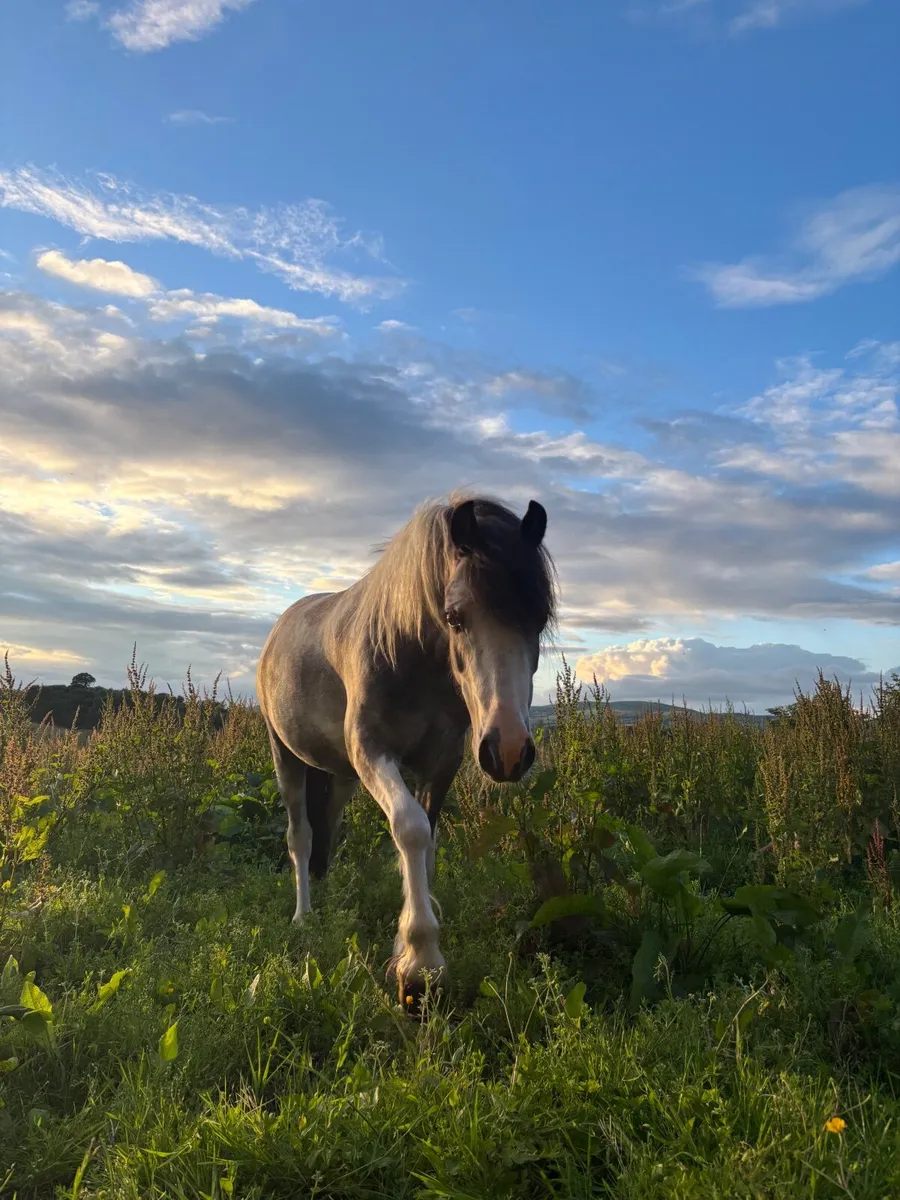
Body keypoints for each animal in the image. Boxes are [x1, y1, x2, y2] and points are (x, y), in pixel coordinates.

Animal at [256, 492, 557, 1010]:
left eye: (538, 618)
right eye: (455, 617)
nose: (509, 749)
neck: (409, 654)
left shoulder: (442, 763)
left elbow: (427, 844)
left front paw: (409, 948)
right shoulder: (372, 751)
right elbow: (410, 829)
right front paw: (420, 965)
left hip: (339, 776)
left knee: (326, 828)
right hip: (287, 757)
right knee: (301, 837)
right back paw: (303, 918)